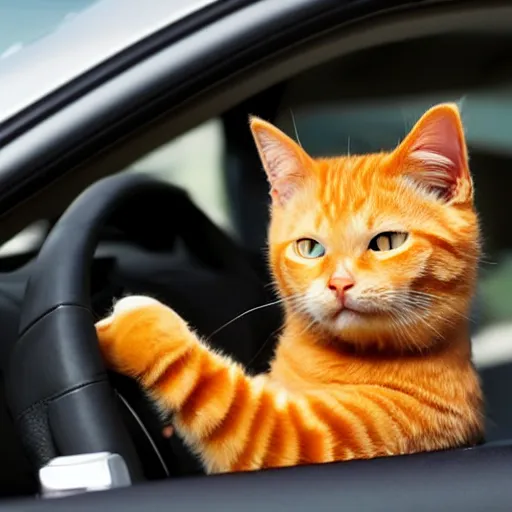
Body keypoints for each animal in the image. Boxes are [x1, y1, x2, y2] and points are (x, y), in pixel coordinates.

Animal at [95, 102, 484, 474]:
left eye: (388, 242)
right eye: (309, 248)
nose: (339, 284)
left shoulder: (292, 439)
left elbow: (219, 391)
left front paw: (132, 323)